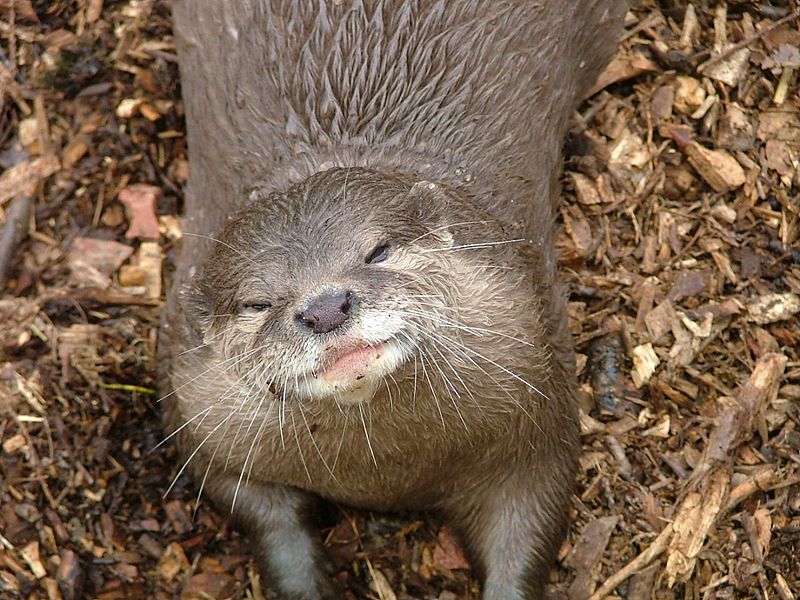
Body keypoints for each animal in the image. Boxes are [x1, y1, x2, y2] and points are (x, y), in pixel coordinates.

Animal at [162, 2, 624, 596]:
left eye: (377, 251)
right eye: (256, 303)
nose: (324, 308)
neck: (388, 473)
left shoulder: (540, 409)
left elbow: (529, 517)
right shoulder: (201, 421)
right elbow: (265, 520)